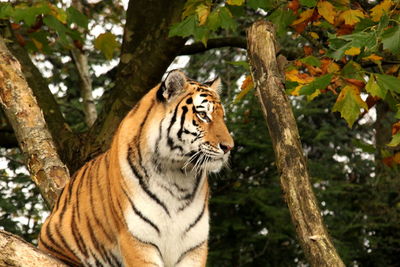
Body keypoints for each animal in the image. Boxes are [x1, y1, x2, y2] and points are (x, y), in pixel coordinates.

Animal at [38, 69, 233, 267]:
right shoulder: (138, 239)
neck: (177, 176)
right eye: (203, 115)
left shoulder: (194, 246)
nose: (229, 147)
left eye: (222, 117)